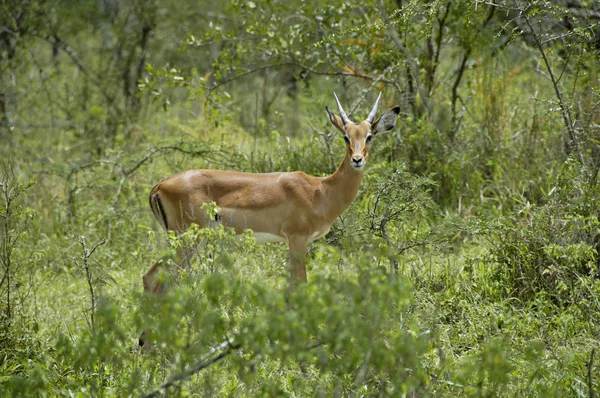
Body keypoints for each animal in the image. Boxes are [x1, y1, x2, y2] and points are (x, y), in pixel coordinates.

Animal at [140, 93, 398, 348]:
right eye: (346, 137)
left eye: (369, 136)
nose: (357, 159)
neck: (320, 190)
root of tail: (158, 186)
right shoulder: (297, 238)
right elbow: (300, 286)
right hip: (187, 239)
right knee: (153, 277)